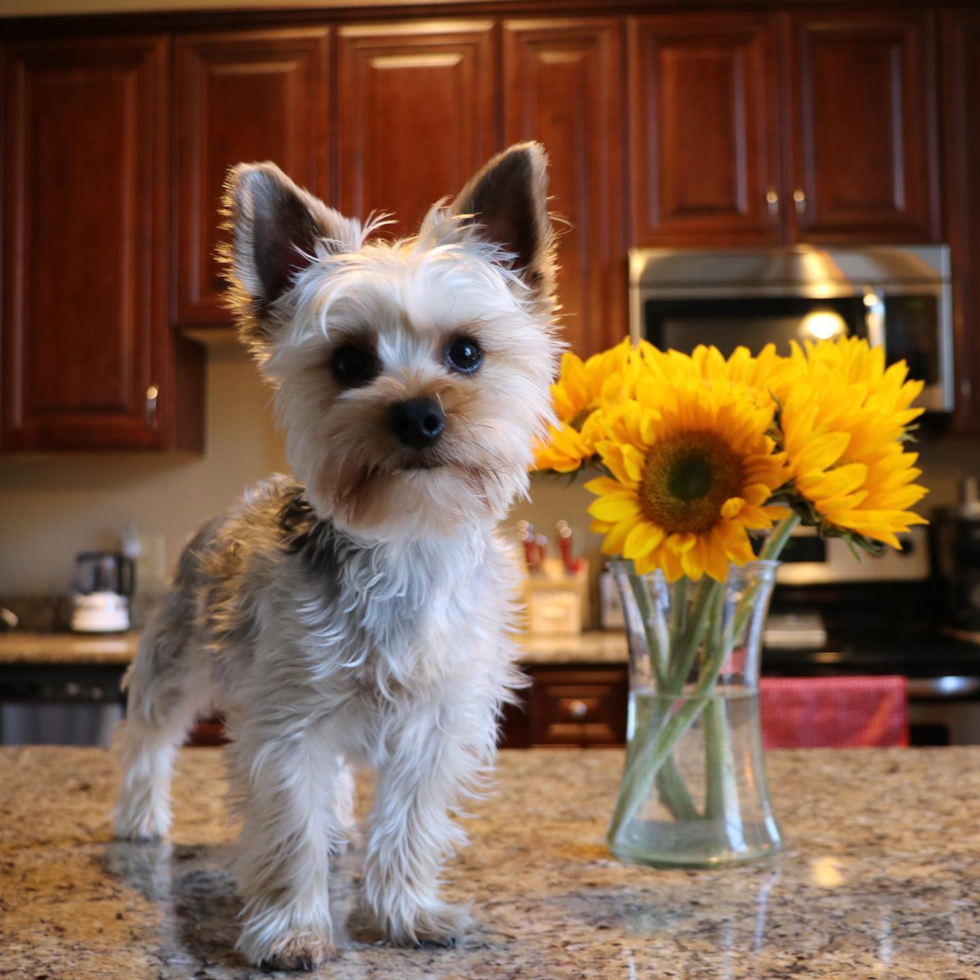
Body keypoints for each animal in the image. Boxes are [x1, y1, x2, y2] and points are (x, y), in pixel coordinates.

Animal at [113, 142, 560, 968]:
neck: (404, 540)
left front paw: (405, 914)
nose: (418, 415)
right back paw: (138, 816)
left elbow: (409, 822)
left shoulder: (436, 721)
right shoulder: (288, 715)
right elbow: (289, 824)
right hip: (176, 654)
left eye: (467, 352)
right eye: (349, 362)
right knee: (149, 734)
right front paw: (292, 930)